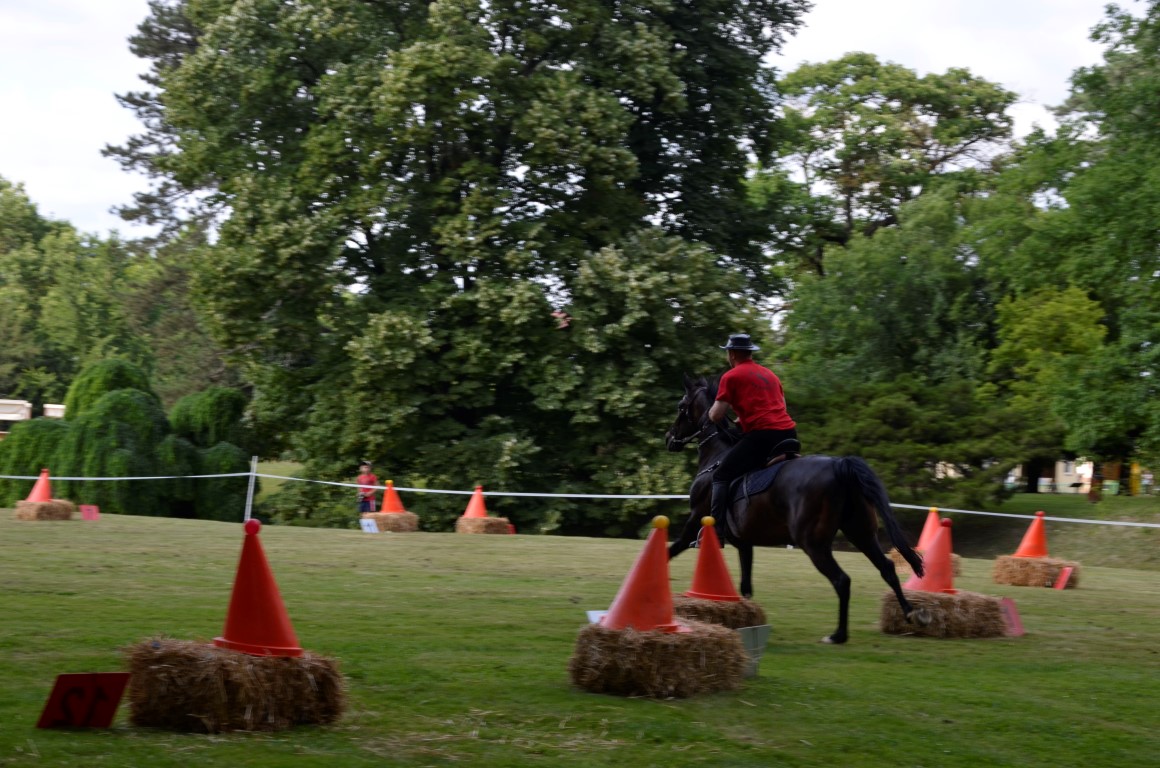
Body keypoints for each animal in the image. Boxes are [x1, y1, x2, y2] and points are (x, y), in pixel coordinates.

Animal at [664, 373, 929, 644]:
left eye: (681, 406)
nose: (669, 438)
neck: (717, 454)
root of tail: (839, 465)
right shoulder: (744, 543)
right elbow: (746, 587)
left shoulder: (696, 519)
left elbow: (670, 551)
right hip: (860, 533)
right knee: (887, 568)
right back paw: (910, 613)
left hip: (814, 543)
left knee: (842, 580)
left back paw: (838, 635)